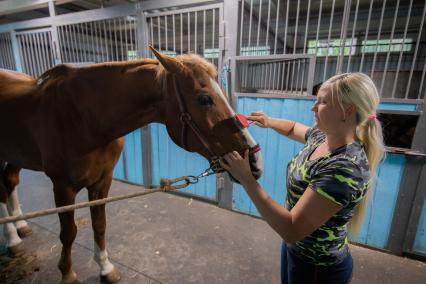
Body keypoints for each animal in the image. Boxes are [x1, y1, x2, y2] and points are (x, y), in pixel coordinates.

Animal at [0, 47, 262, 282]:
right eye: (204, 99)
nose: (254, 160)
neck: (83, 118)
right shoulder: (62, 186)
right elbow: (68, 232)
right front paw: (67, 273)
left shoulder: (102, 181)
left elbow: (100, 224)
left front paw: (105, 268)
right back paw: (13, 239)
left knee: (10, 183)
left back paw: (20, 226)